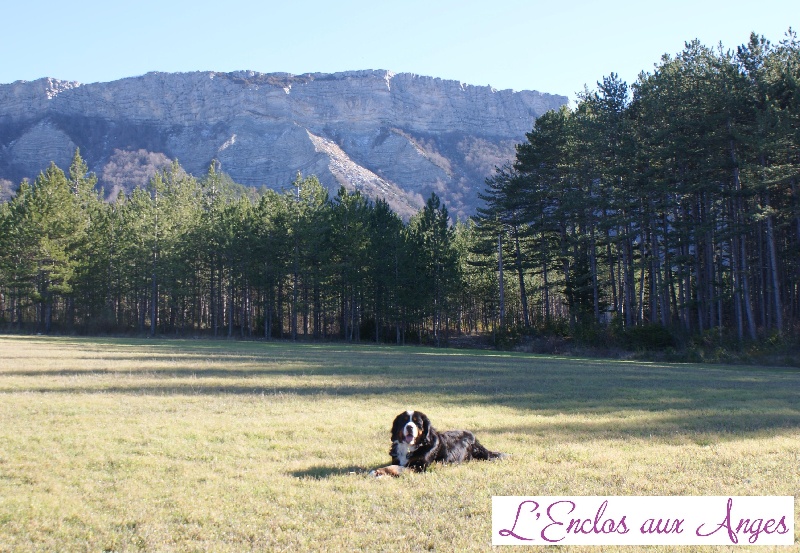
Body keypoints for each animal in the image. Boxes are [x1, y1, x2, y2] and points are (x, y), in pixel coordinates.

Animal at [370, 408, 506, 476]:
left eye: (417, 422)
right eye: (404, 421)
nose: (409, 427)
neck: (410, 447)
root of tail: (473, 436)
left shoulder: (420, 467)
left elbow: (395, 468)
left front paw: (378, 472)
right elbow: (392, 465)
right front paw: (377, 471)